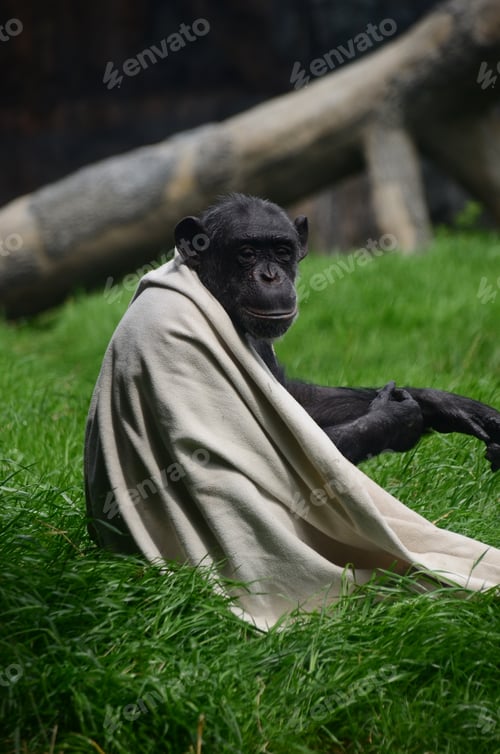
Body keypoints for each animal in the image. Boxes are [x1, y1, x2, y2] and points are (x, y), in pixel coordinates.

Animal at [174, 193, 500, 470]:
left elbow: (297, 403)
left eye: (282, 252)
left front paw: (450, 405)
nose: (270, 276)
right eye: (246, 253)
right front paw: (393, 420)